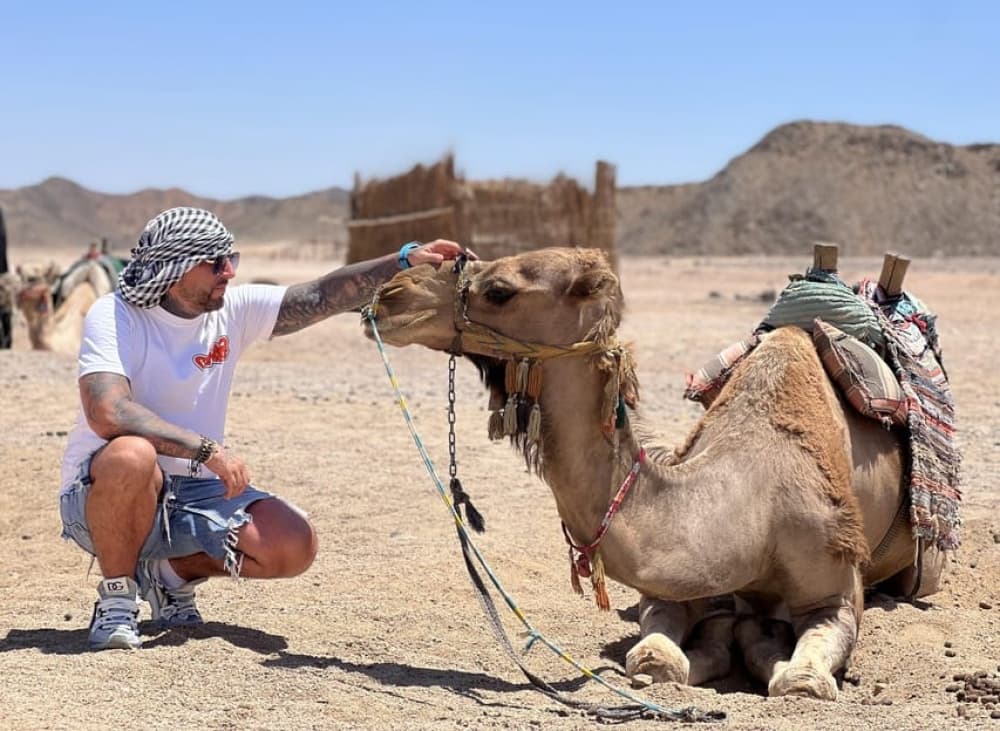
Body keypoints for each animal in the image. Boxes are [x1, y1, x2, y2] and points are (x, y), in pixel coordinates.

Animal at [363, 247, 946, 701]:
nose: (391, 294)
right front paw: (723, 641)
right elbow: (656, 657)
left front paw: (770, 649)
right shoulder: (675, 584)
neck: (754, 498)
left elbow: (800, 681)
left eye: (500, 290)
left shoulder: (836, 592)